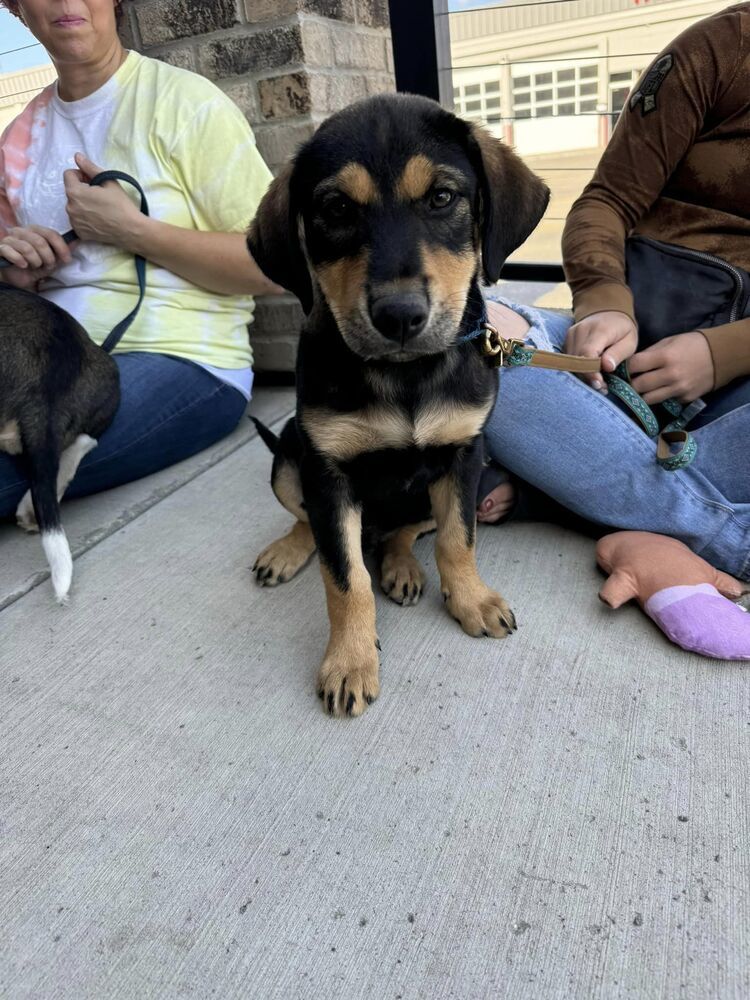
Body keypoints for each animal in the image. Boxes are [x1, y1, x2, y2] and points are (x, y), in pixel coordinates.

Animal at [250, 94, 548, 716]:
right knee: (308, 521)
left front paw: (472, 600)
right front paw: (350, 661)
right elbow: (344, 578)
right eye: (336, 208)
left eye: (442, 198)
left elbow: (459, 541)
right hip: (288, 457)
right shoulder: (327, 473)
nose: (401, 316)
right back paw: (290, 550)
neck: (405, 374)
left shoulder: (464, 455)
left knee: (406, 531)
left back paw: (402, 566)